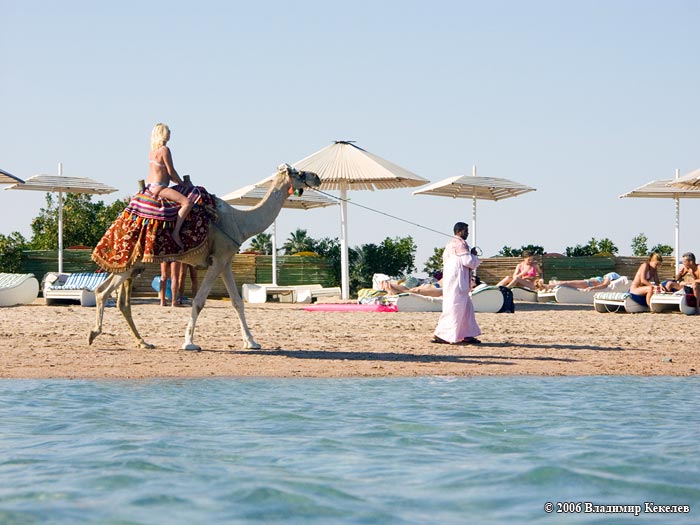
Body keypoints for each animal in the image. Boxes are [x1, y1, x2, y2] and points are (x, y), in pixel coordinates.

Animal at [85, 165, 322, 352]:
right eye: (298, 172)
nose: (317, 176)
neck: (240, 223)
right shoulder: (217, 260)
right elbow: (199, 301)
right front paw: (189, 343)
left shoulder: (225, 260)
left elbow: (237, 302)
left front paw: (252, 342)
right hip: (129, 262)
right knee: (103, 292)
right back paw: (94, 333)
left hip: (133, 266)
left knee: (119, 300)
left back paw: (143, 342)